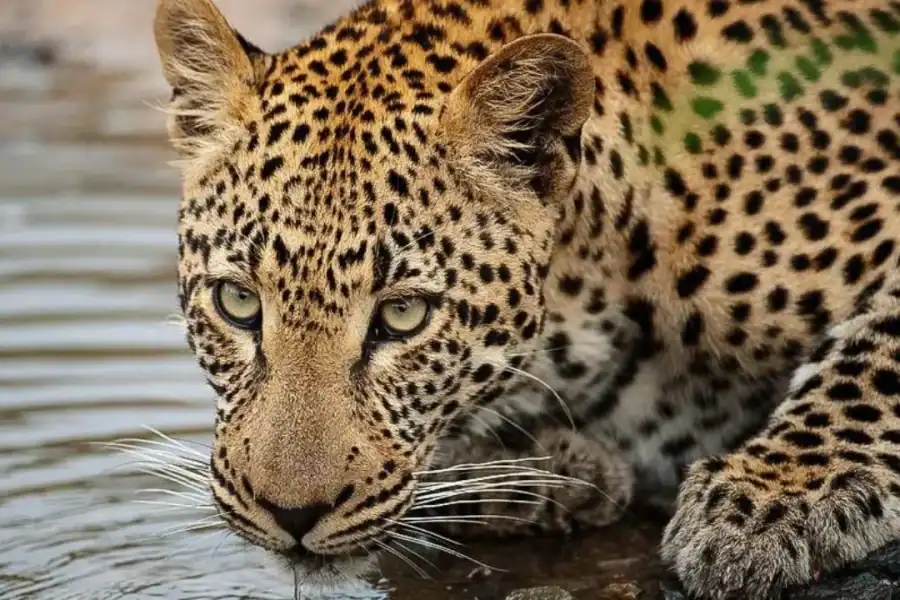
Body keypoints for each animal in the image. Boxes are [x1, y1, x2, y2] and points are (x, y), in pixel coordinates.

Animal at [152, 0, 900, 597]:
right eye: (238, 302)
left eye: (403, 315)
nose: (291, 516)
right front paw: (548, 475)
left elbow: (874, 355)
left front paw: (773, 498)